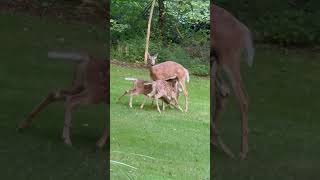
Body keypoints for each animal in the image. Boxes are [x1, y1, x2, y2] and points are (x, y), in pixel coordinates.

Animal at [211, 3, 254, 159]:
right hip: (220, 60)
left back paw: (242, 151)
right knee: (224, 92)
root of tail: (244, 30)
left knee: (242, 98)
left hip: (230, 57)